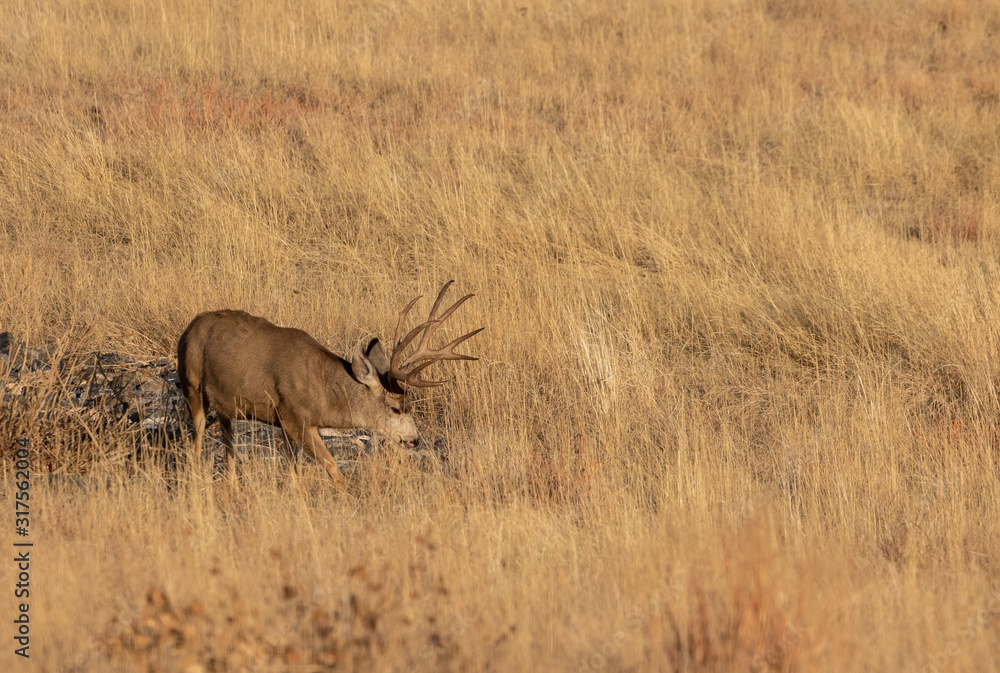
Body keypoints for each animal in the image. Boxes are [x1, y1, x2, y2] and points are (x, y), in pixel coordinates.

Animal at [176, 281, 483, 486]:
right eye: (396, 409)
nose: (414, 440)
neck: (323, 392)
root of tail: (188, 328)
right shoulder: (295, 417)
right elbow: (332, 467)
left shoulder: (283, 422)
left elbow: (294, 470)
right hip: (191, 383)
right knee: (196, 442)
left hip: (225, 406)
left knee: (227, 444)